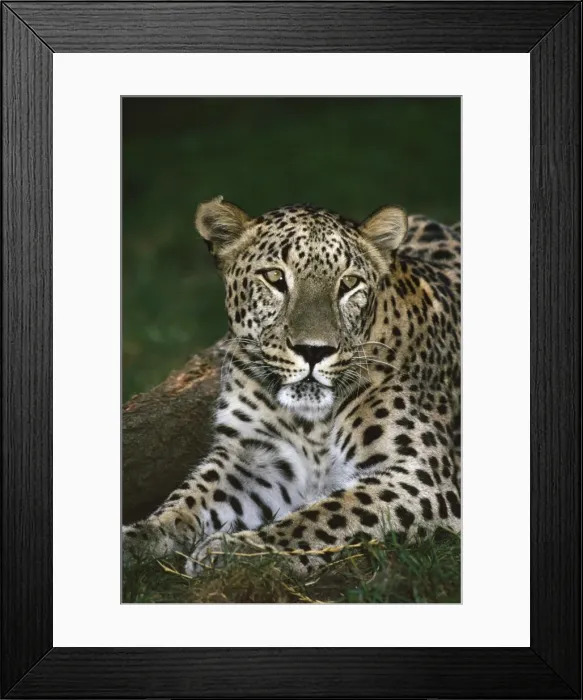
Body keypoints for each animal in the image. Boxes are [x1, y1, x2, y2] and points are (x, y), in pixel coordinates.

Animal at [123, 196, 461, 578]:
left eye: (349, 283)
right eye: (275, 278)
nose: (314, 350)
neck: (312, 422)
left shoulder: (419, 477)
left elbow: (325, 515)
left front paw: (236, 551)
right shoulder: (254, 458)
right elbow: (187, 500)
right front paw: (137, 537)